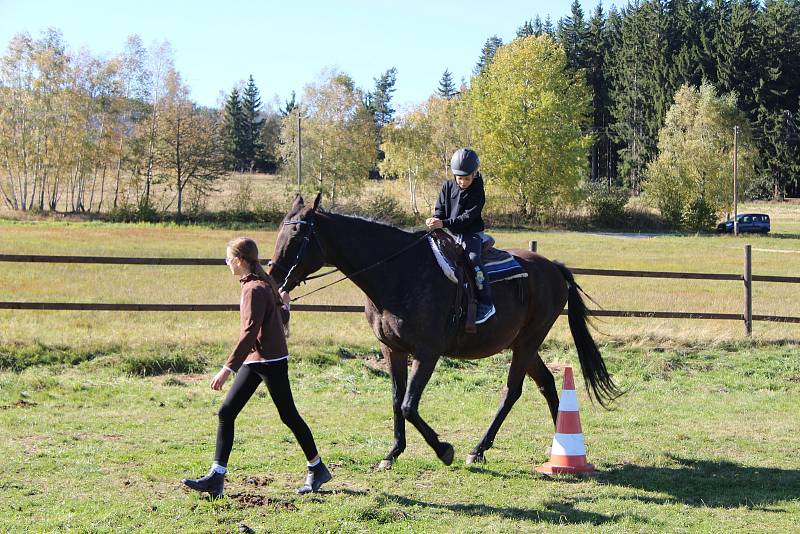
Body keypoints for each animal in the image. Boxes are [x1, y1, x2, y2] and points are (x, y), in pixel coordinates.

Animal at [268, 195, 620, 472]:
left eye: (298, 233)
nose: (273, 278)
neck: (399, 274)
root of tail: (552, 267)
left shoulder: (427, 352)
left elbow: (409, 405)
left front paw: (444, 450)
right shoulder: (391, 350)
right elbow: (396, 399)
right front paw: (392, 453)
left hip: (529, 342)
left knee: (512, 391)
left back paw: (478, 449)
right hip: (523, 344)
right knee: (546, 383)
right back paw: (557, 444)